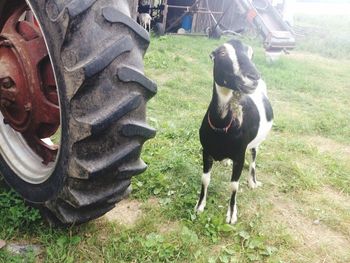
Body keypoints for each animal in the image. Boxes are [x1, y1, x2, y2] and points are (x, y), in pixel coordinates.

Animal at [194, 38, 274, 225]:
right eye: (222, 53)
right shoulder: (206, 150)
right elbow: (205, 178)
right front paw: (200, 206)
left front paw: (231, 214)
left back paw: (252, 182)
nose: (254, 77)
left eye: (251, 53)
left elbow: (233, 185)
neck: (222, 126)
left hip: (255, 143)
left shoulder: (239, 155)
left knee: (254, 158)